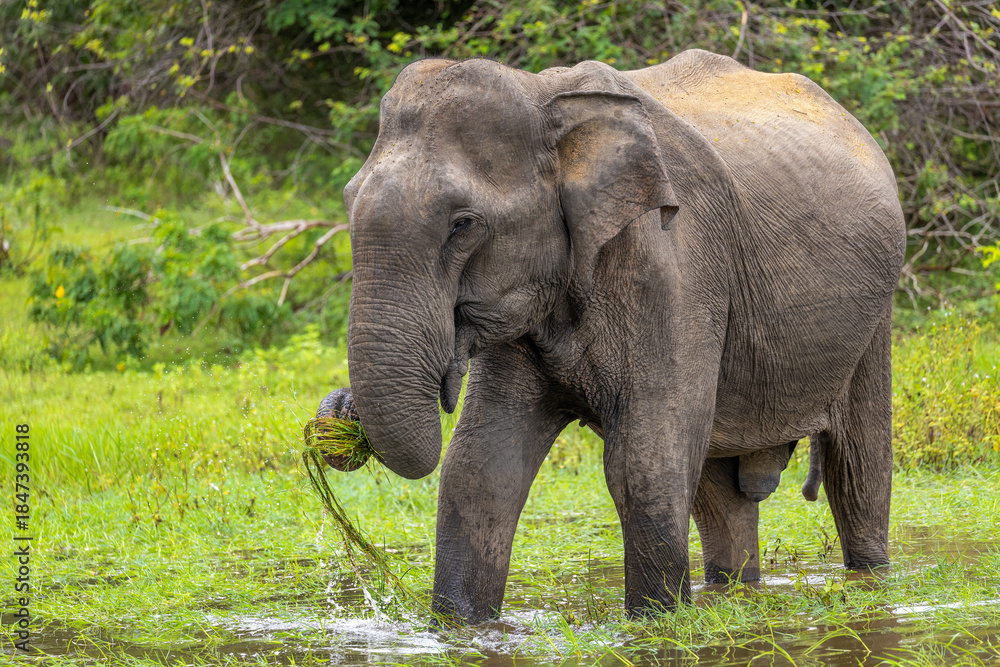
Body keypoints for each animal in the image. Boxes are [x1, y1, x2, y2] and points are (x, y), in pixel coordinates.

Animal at [316, 49, 905, 623]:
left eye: (463, 224)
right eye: (346, 200)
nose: (340, 408)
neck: (542, 93)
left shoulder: (674, 270)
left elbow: (643, 466)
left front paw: (656, 624)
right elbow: (479, 468)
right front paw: (460, 627)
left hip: (876, 311)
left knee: (857, 466)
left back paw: (870, 579)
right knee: (719, 489)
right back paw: (733, 589)